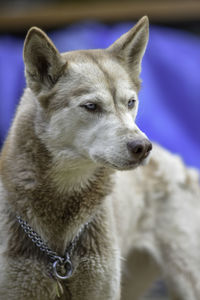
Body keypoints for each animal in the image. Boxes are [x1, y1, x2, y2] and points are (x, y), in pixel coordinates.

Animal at [0, 17, 200, 300]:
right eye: (91, 106)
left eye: (130, 102)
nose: (143, 147)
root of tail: (176, 160)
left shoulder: (100, 288)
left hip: (186, 280)